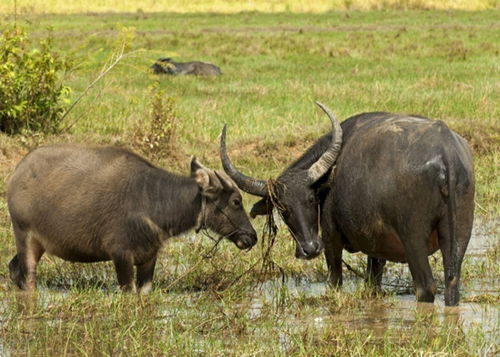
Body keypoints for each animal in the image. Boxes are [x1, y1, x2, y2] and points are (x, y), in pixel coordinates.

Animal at [6, 145, 258, 292]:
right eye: (236, 201)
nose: (252, 236)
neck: (152, 201)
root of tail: (18, 172)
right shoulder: (121, 256)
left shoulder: (149, 259)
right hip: (24, 237)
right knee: (27, 278)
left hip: (38, 245)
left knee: (14, 269)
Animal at [221, 101, 474, 304]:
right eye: (283, 210)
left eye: (311, 199)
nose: (309, 248)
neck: (328, 179)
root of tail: (446, 153)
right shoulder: (376, 245)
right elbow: (373, 280)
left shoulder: (330, 238)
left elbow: (335, 279)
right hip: (459, 235)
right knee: (451, 282)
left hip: (413, 239)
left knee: (425, 286)